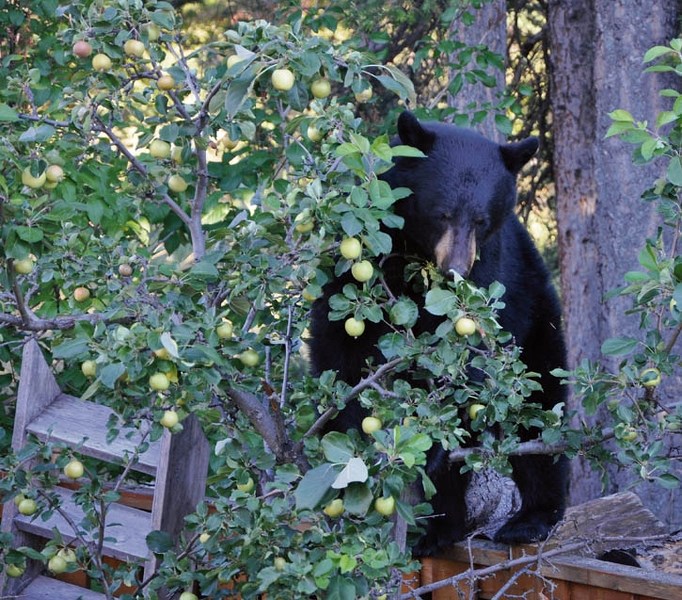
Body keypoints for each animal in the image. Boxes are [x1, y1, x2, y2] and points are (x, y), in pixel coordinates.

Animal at [308, 111, 568, 552]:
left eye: (481, 220)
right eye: (442, 213)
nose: (455, 270)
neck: (416, 253)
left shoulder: (489, 273)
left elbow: (466, 356)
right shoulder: (357, 257)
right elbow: (340, 347)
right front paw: (357, 436)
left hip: (536, 316)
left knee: (539, 412)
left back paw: (529, 519)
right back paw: (439, 530)